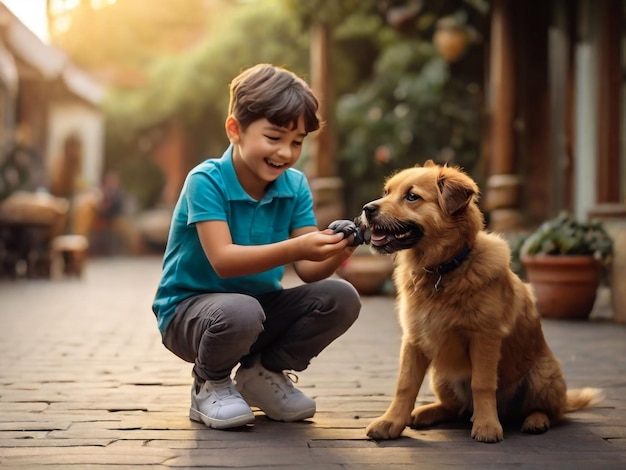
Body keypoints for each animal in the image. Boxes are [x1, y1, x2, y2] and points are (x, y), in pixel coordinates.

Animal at [360, 160, 600, 442]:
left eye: (411, 196)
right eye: (386, 192)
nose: (367, 209)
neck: (444, 269)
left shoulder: (484, 337)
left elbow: (482, 384)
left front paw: (487, 425)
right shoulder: (414, 339)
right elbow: (405, 385)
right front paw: (391, 422)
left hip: (543, 375)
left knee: (551, 412)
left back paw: (535, 420)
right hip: (441, 375)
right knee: (455, 408)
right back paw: (426, 412)